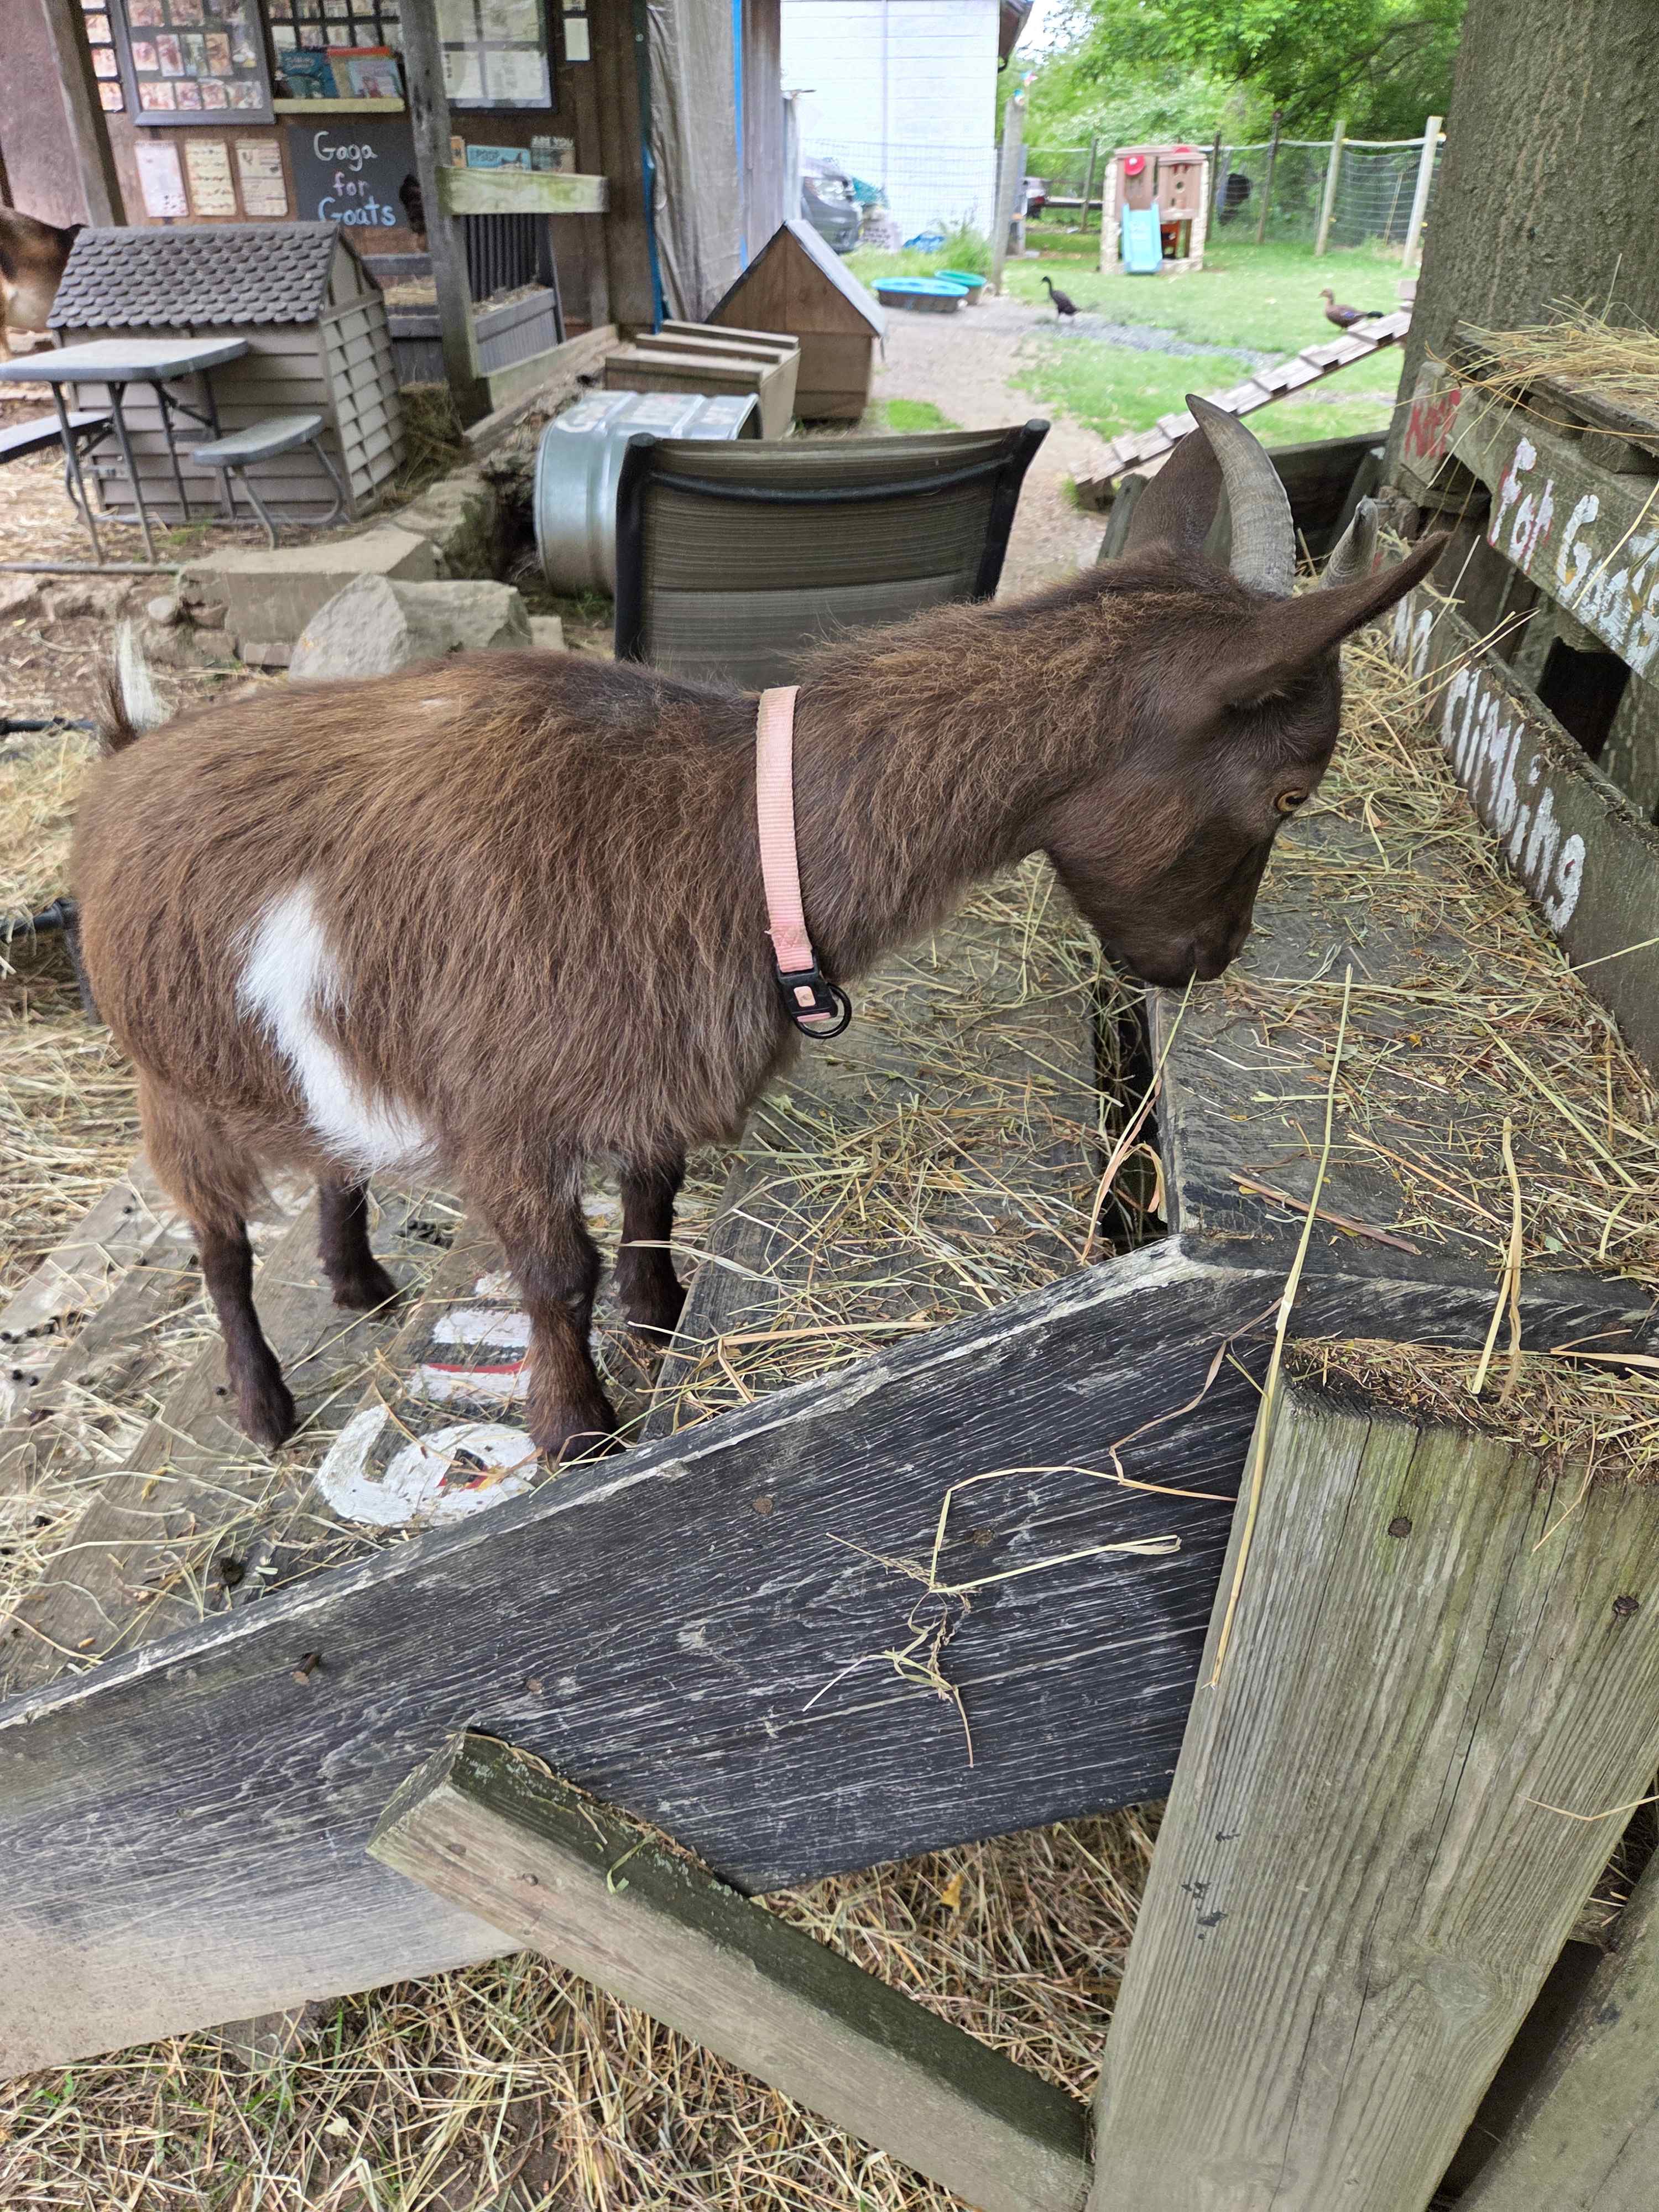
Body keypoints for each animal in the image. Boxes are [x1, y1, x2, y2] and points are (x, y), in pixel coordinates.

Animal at [72, 403, 1445, 1463]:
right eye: (1293, 789)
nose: (1208, 957)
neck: (736, 830)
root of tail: (132, 756)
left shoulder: (652, 1078)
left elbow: (655, 1195)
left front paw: (662, 1314)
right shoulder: (508, 1115)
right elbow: (555, 1276)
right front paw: (578, 1430)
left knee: (332, 1153)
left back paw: (357, 1280)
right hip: (164, 1079)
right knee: (218, 1247)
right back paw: (262, 1402)